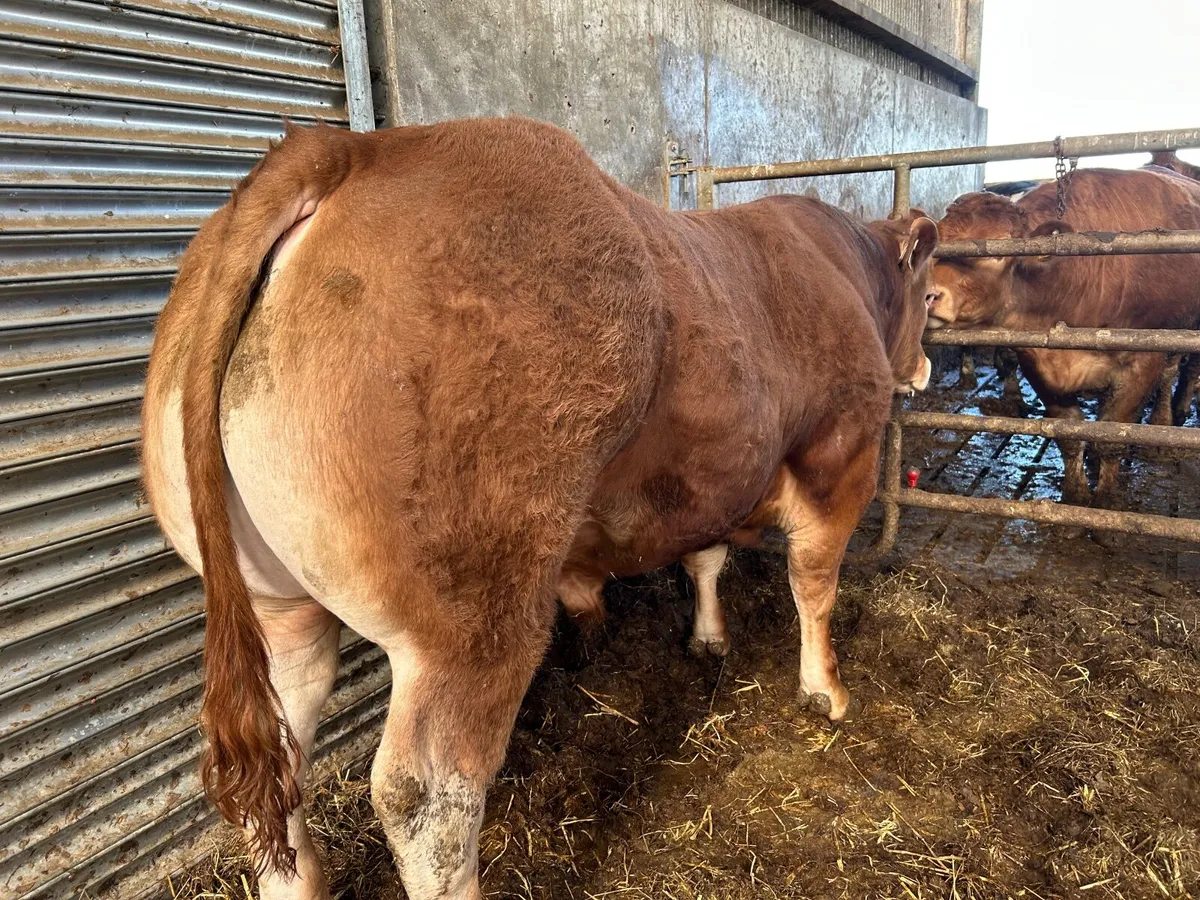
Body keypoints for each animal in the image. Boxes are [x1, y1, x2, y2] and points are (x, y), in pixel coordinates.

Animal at [141, 116, 937, 899]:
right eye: (931, 298)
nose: (926, 367)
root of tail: (351, 147)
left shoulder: (710, 474)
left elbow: (705, 556)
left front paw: (709, 637)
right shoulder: (842, 454)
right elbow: (815, 583)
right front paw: (826, 690)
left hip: (278, 605)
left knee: (282, 756)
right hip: (472, 619)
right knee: (429, 798)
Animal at [927, 167, 1200, 508]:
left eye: (999, 249)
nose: (929, 295)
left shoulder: (1142, 361)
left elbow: (1113, 435)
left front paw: (1106, 500)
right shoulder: (1038, 363)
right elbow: (1069, 433)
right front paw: (1075, 494)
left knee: (1174, 375)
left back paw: (1166, 420)